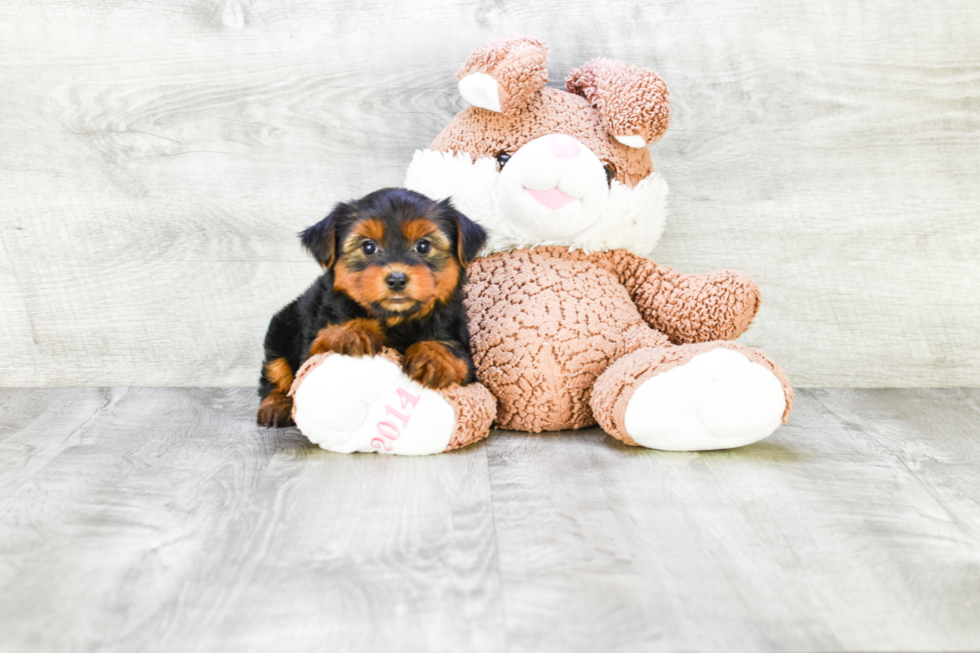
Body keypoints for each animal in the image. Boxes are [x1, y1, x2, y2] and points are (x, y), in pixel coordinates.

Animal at [258, 186, 488, 426]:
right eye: (368, 247)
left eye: (423, 246)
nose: (397, 279)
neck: (396, 318)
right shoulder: (313, 343)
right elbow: (323, 340)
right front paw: (353, 331)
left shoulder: (461, 347)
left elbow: (456, 354)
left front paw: (434, 356)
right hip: (281, 328)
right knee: (275, 372)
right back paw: (276, 405)